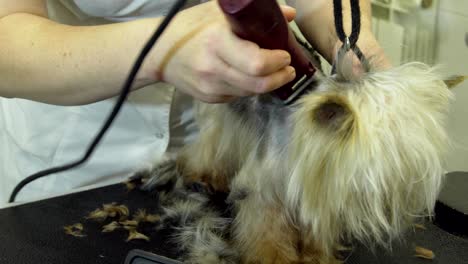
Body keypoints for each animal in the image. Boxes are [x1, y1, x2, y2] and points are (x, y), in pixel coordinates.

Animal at [137, 54, 458, 262]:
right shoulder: (266, 192)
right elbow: (267, 233)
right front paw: (273, 258)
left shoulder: (317, 190)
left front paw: (316, 255)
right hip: (223, 116)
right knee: (208, 148)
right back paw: (201, 174)